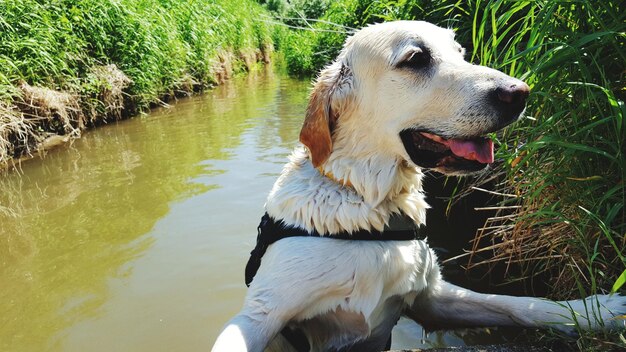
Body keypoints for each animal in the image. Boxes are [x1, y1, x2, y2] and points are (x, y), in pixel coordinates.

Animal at [211, 20, 624, 350]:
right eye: (415, 59)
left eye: (461, 53)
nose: (520, 91)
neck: (368, 200)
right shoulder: (260, 315)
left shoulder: (432, 295)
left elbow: (518, 305)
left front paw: (597, 310)